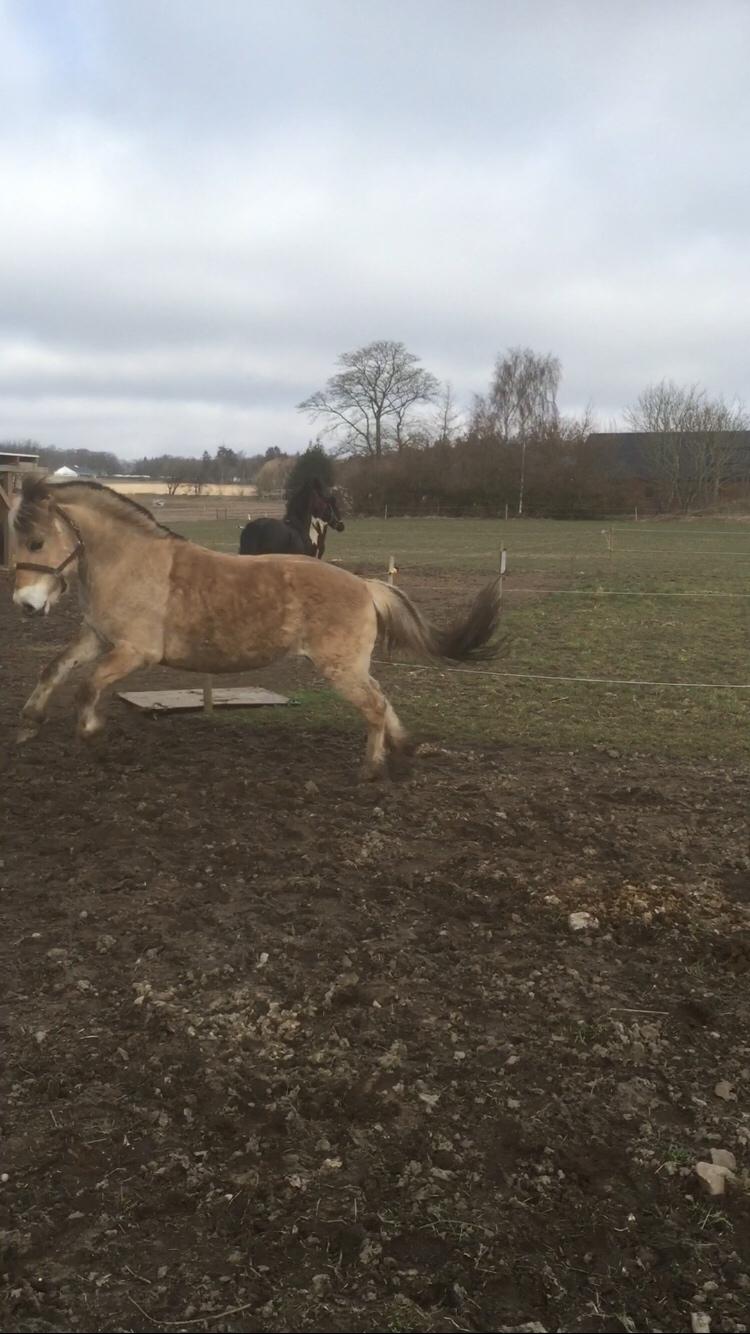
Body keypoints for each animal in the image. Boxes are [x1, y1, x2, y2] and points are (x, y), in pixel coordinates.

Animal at [8, 477, 499, 773]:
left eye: (36, 541)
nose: (25, 605)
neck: (130, 562)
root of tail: (365, 585)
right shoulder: (98, 637)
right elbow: (54, 669)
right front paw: (29, 723)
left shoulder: (134, 652)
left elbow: (87, 687)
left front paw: (90, 733)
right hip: (354, 667)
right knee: (382, 699)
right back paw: (402, 747)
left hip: (342, 670)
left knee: (375, 706)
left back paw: (371, 770)